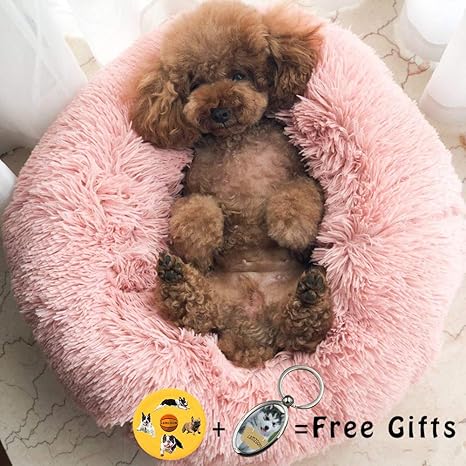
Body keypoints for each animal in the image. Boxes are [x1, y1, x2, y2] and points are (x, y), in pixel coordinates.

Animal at [132, 0, 333, 368]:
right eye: (196, 84)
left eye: (239, 75)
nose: (219, 110)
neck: (236, 140)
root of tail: (250, 334)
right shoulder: (190, 188)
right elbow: (197, 208)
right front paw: (198, 240)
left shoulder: (303, 173)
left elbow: (298, 193)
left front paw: (292, 226)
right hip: (214, 300)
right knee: (195, 310)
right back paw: (175, 276)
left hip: (291, 314)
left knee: (305, 330)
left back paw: (310, 296)